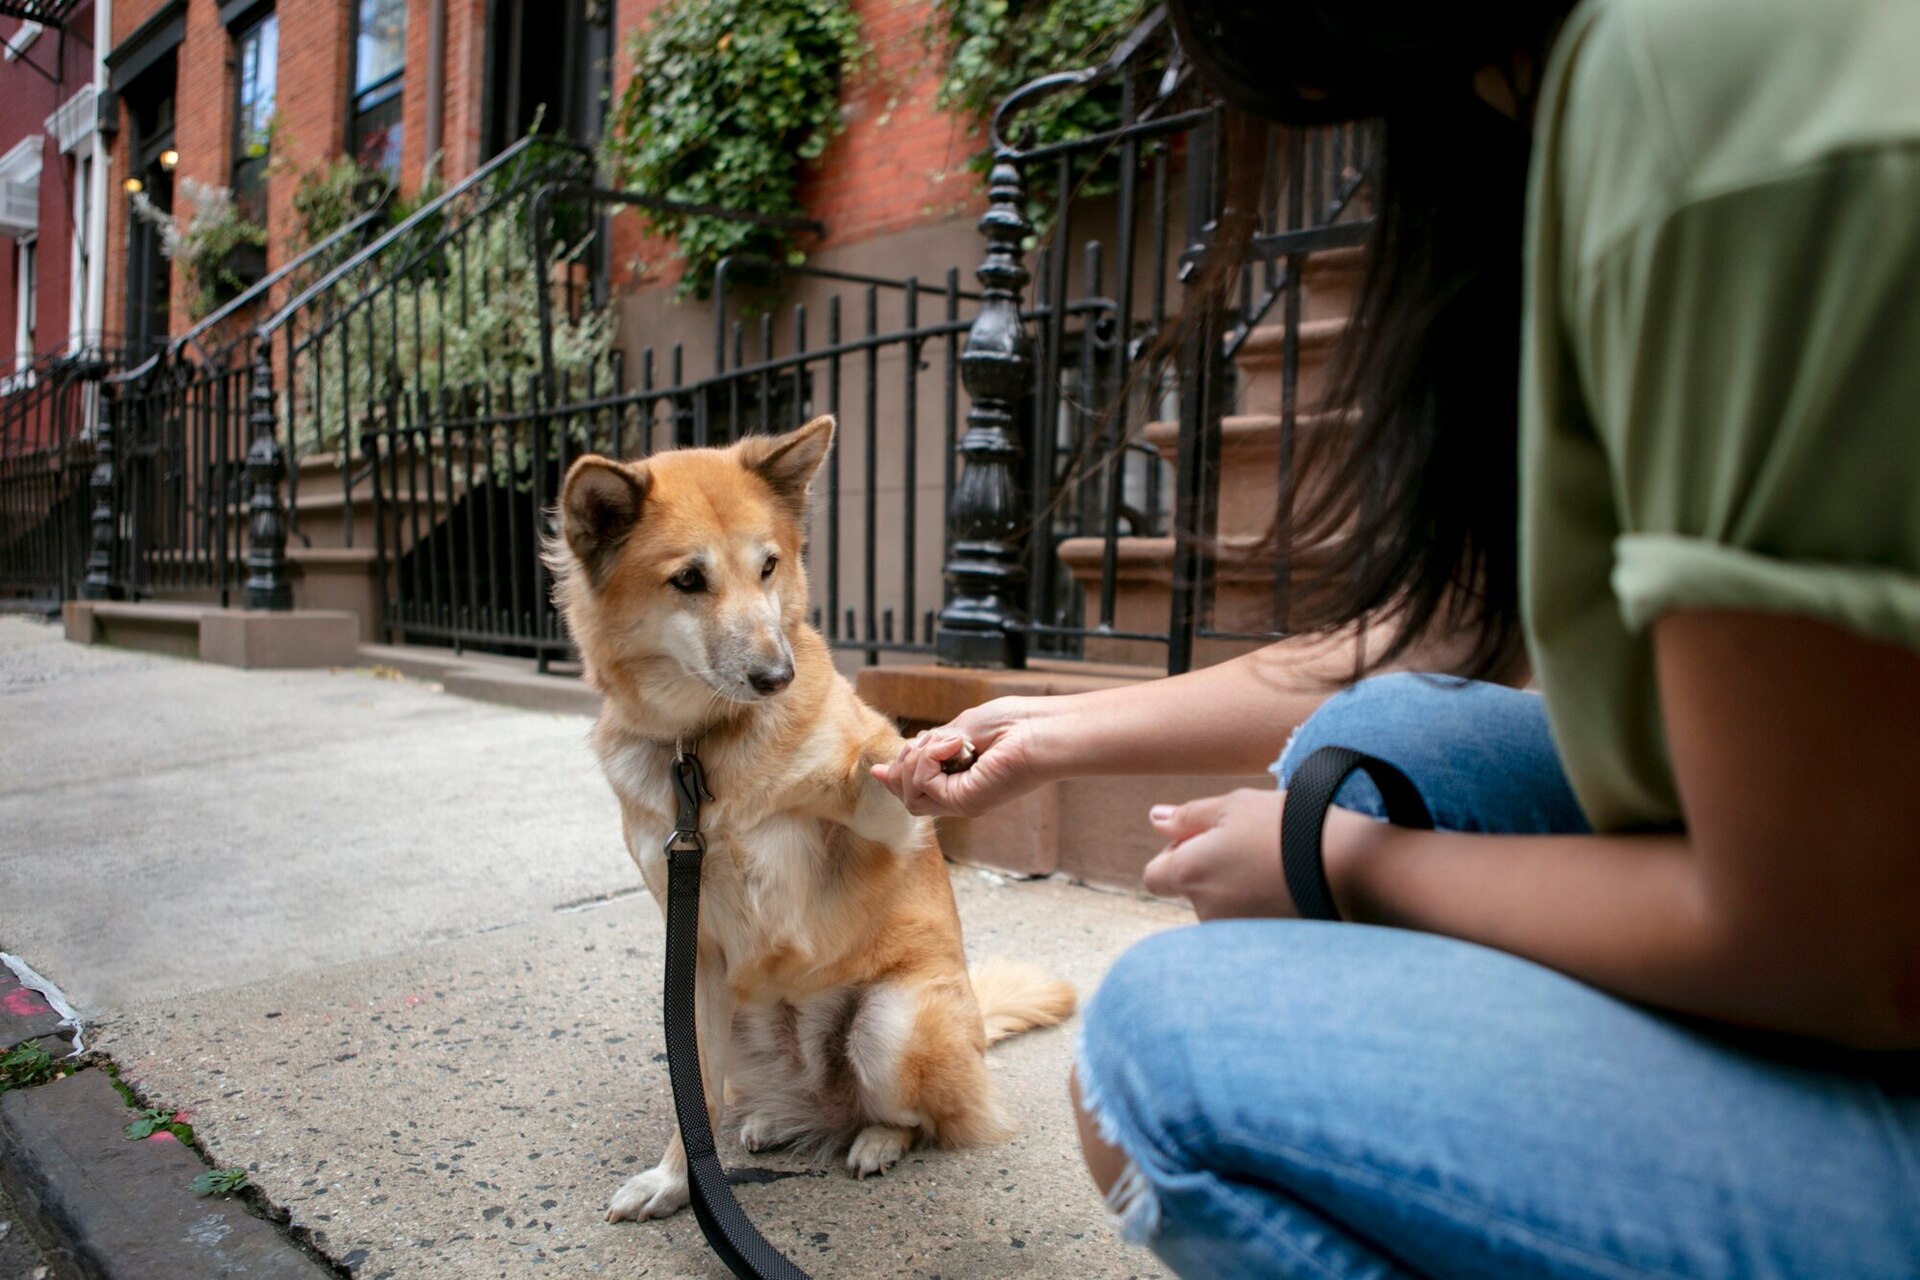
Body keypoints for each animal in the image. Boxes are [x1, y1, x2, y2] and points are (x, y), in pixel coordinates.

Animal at [549, 416, 1075, 1228]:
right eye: (688, 580)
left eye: (768, 566)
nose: (777, 677)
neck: (706, 747)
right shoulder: (694, 956)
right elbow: (693, 1098)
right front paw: (675, 1182)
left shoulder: (879, 829)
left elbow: (874, 765)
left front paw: (929, 748)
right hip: (735, 1019)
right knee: (748, 1095)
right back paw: (776, 1120)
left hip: (890, 1027)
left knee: (918, 1119)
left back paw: (877, 1139)